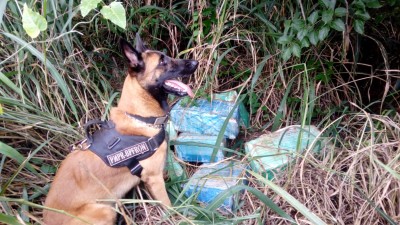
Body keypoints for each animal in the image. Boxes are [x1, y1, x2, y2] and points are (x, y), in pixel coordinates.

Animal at [43, 34, 198, 224]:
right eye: (162, 62)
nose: (195, 62)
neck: (140, 117)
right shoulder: (155, 179)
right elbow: (169, 207)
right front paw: (180, 217)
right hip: (105, 210)